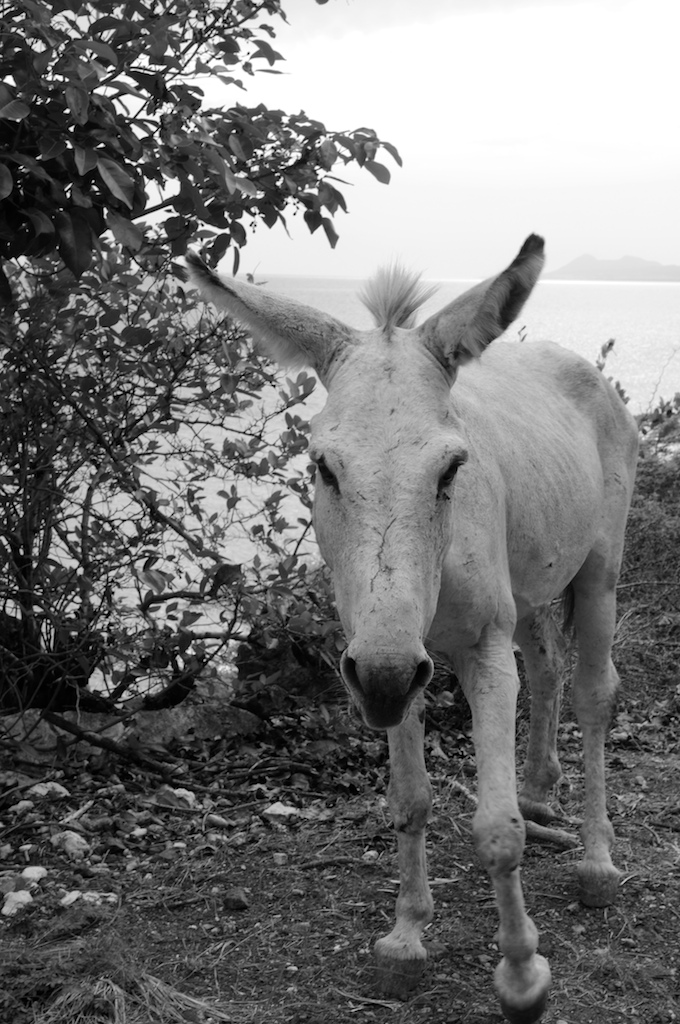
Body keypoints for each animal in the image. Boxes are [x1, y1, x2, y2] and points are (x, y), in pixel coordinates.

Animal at [184, 235, 638, 1024]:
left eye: (451, 467)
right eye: (323, 467)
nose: (390, 675)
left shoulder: (475, 652)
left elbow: (495, 830)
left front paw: (523, 975)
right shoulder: (384, 657)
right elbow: (410, 800)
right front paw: (405, 939)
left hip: (600, 571)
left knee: (592, 693)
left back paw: (596, 862)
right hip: (531, 583)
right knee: (548, 667)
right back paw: (540, 794)